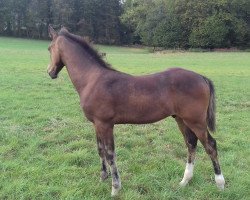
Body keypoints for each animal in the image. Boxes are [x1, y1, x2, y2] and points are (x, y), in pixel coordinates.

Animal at [46, 25, 225, 196]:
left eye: (49, 48)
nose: (50, 72)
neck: (92, 79)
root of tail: (202, 77)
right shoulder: (96, 124)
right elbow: (100, 149)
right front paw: (103, 177)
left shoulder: (105, 124)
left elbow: (110, 153)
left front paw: (115, 188)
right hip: (181, 119)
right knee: (191, 143)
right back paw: (185, 181)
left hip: (196, 121)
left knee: (210, 145)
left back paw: (220, 183)